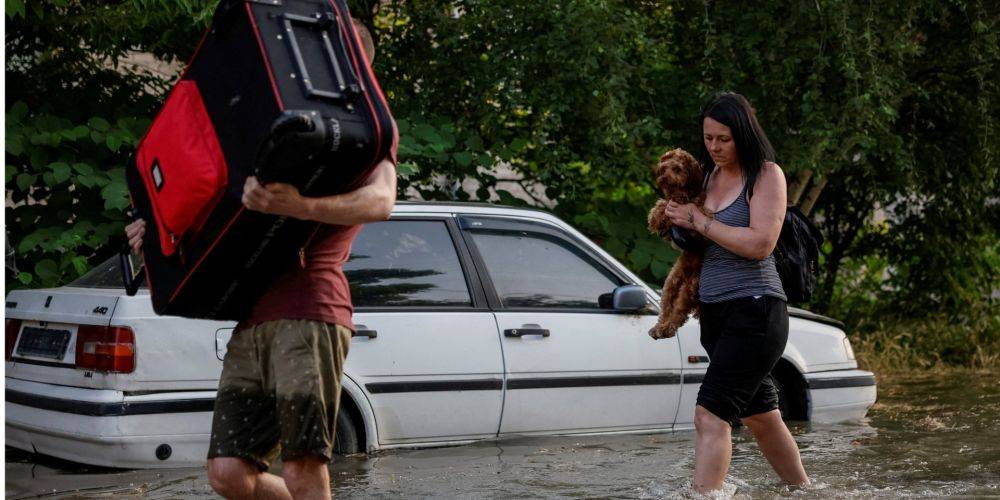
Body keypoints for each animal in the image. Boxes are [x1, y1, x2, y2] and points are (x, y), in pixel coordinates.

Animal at [648, 146, 712, 338]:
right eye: (664, 167)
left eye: (677, 169)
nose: (662, 176)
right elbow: (659, 209)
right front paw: (660, 214)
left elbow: (699, 210)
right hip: (672, 281)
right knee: (667, 308)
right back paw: (659, 328)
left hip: (691, 287)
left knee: (679, 313)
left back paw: (666, 328)